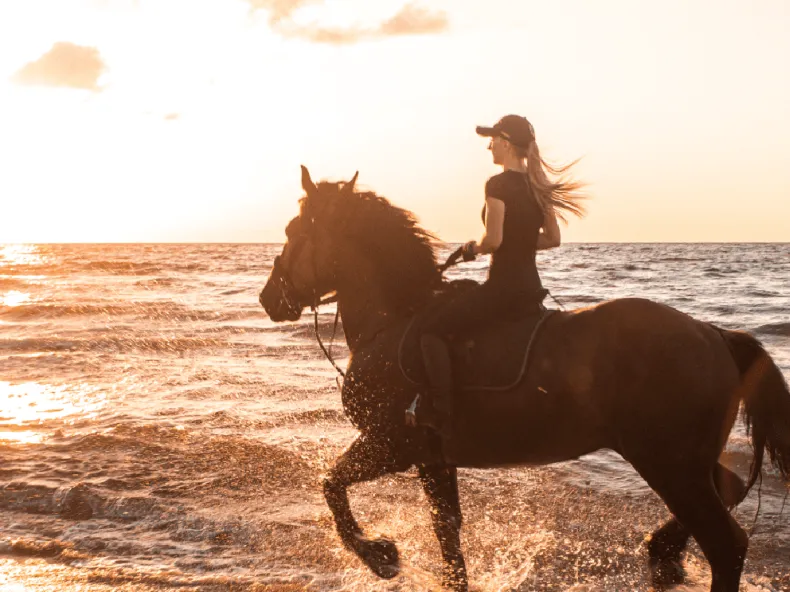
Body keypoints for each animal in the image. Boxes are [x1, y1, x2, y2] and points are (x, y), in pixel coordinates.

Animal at [260, 166, 790, 592]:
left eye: (292, 230)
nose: (270, 298)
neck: (393, 322)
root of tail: (713, 334)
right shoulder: (432, 459)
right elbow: (447, 533)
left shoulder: (390, 445)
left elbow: (331, 486)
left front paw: (381, 556)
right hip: (686, 462)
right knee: (729, 488)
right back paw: (662, 553)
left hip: (669, 464)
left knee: (726, 544)